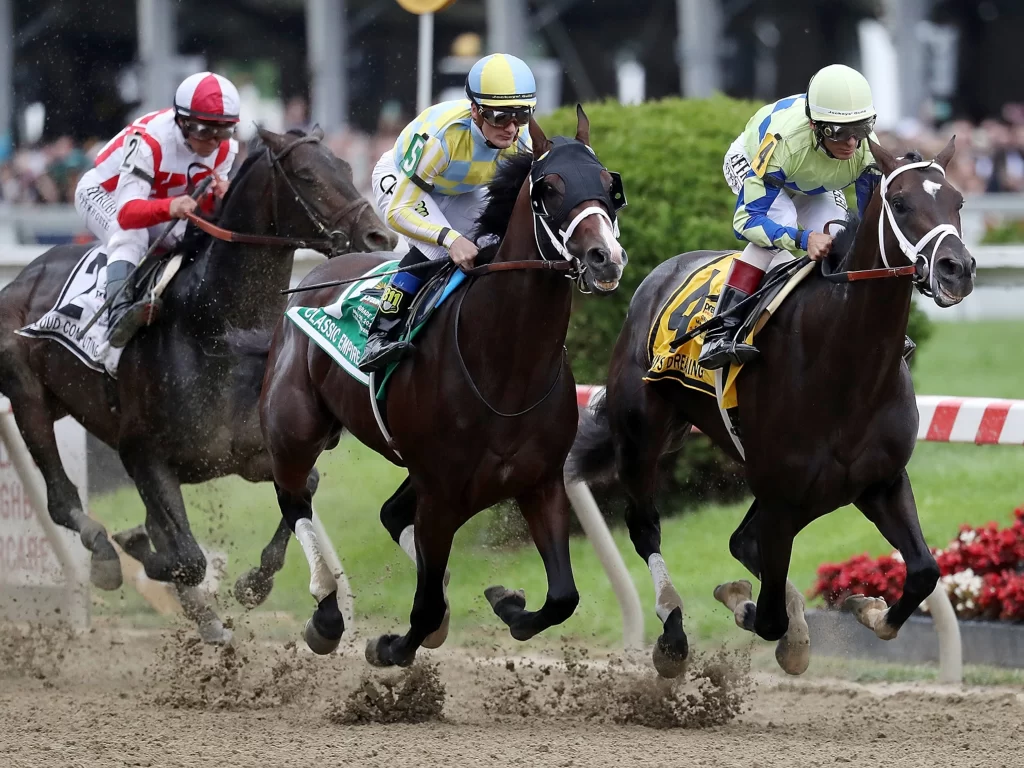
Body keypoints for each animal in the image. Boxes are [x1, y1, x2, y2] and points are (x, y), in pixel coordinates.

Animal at [0, 126, 395, 642]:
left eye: (347, 167)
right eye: (307, 175)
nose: (379, 235)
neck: (221, 329)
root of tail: (22, 276)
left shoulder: (252, 454)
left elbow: (302, 489)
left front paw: (252, 584)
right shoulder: (142, 454)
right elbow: (187, 558)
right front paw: (139, 551)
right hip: (28, 399)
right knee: (61, 499)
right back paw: (107, 556)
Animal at [246, 107, 627, 666]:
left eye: (607, 185)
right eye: (549, 188)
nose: (606, 258)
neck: (507, 371)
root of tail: (317, 274)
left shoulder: (540, 483)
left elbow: (562, 597)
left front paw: (507, 603)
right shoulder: (442, 492)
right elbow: (422, 607)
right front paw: (389, 646)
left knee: (389, 515)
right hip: (295, 430)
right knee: (295, 499)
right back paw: (327, 614)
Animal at [566, 139, 975, 678]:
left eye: (958, 201)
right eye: (901, 203)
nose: (956, 269)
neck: (847, 366)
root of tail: (658, 276)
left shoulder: (880, 483)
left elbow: (925, 572)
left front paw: (865, 607)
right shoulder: (783, 497)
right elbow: (768, 616)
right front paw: (751, 607)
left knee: (742, 541)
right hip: (641, 437)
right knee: (646, 527)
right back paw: (673, 635)